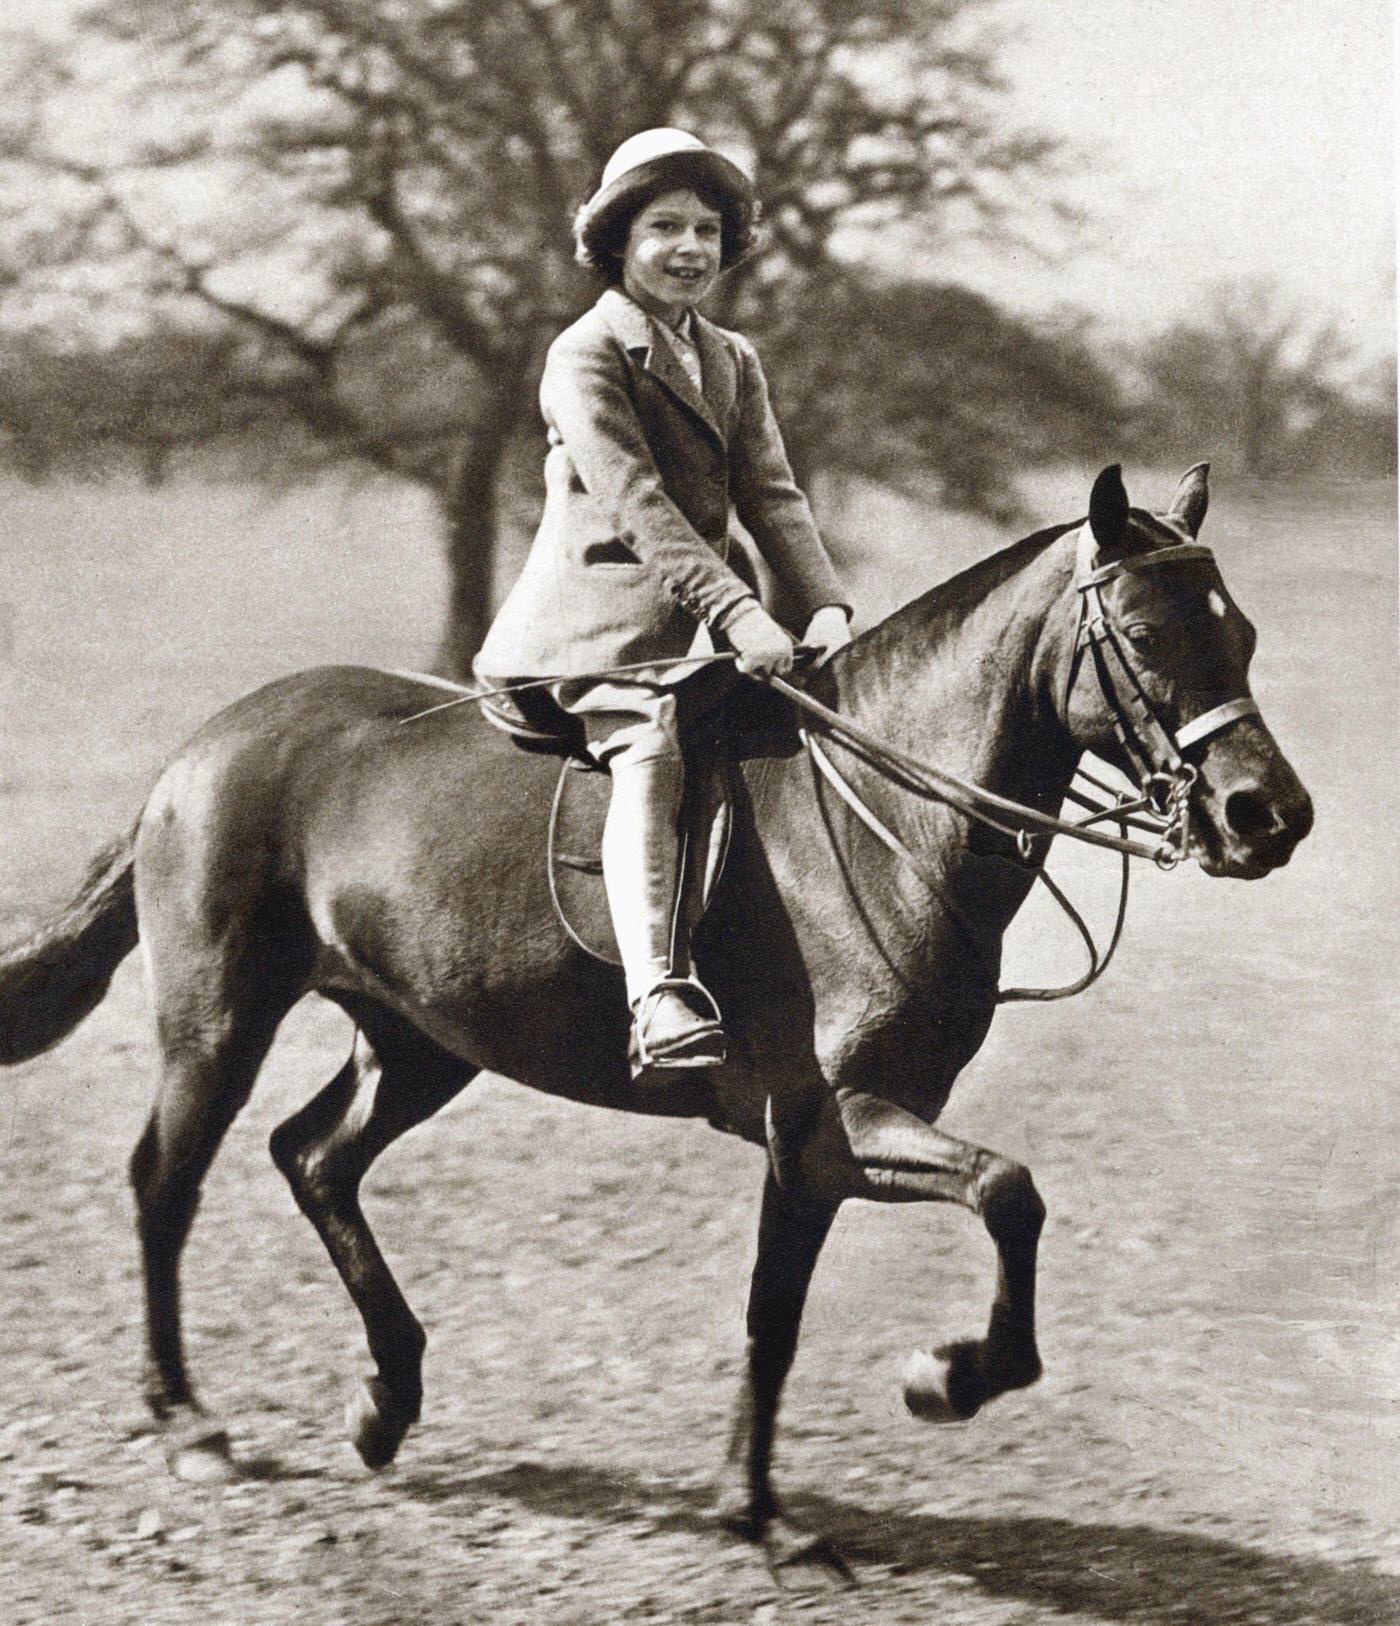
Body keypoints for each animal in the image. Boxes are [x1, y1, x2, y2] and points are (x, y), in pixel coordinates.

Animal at [0, 468, 1313, 1560]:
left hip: (421, 1040)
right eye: (1141, 634)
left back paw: (386, 1400)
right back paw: (189, 1422)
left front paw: (758, 1508)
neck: (887, 816)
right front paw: (942, 1379)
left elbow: (777, 1316)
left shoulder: (816, 1148)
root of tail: (203, 747)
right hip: (219, 1022)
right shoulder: (835, 1120)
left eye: (1240, 631)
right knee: (166, 1183)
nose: (1268, 817)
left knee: (312, 1157)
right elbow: (1005, 1193)